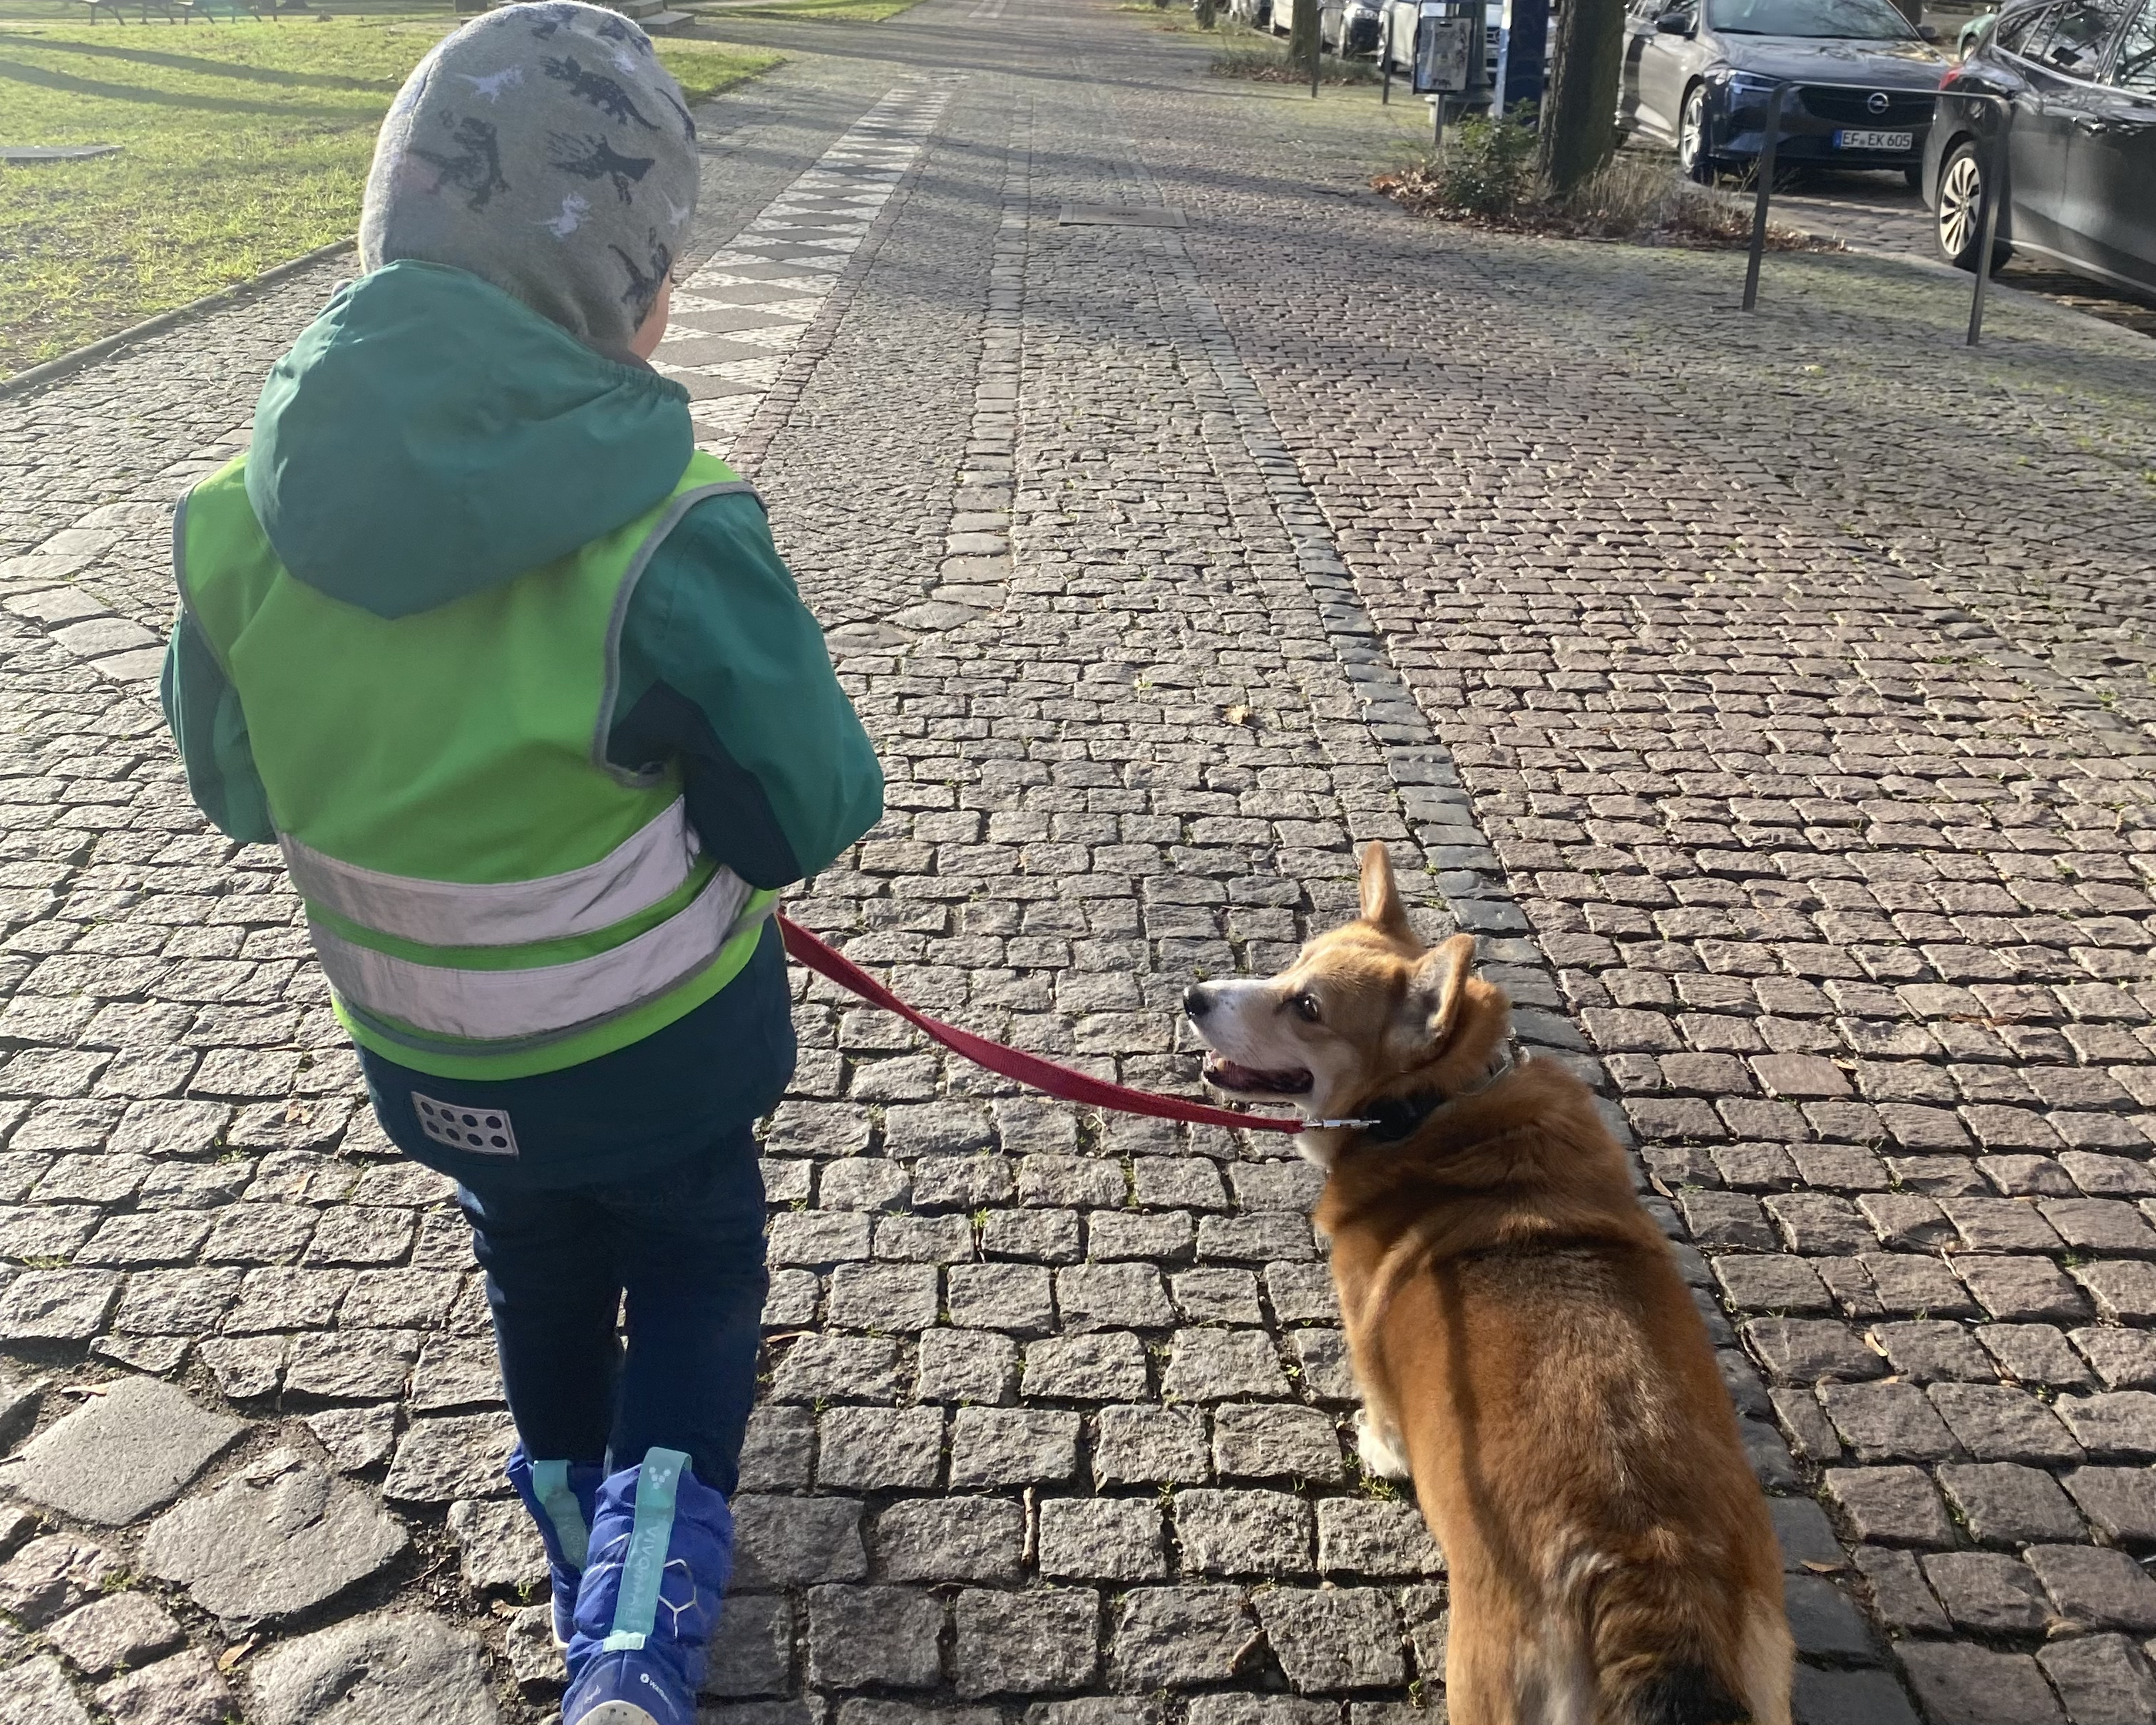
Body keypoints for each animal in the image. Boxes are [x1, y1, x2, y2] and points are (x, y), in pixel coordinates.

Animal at [1181, 845, 1785, 1725]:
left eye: (1307, 1006)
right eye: (1293, 962)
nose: (1193, 997)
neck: (1436, 1107)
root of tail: (1647, 1582)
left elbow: (1380, 1415)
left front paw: (1380, 1450)